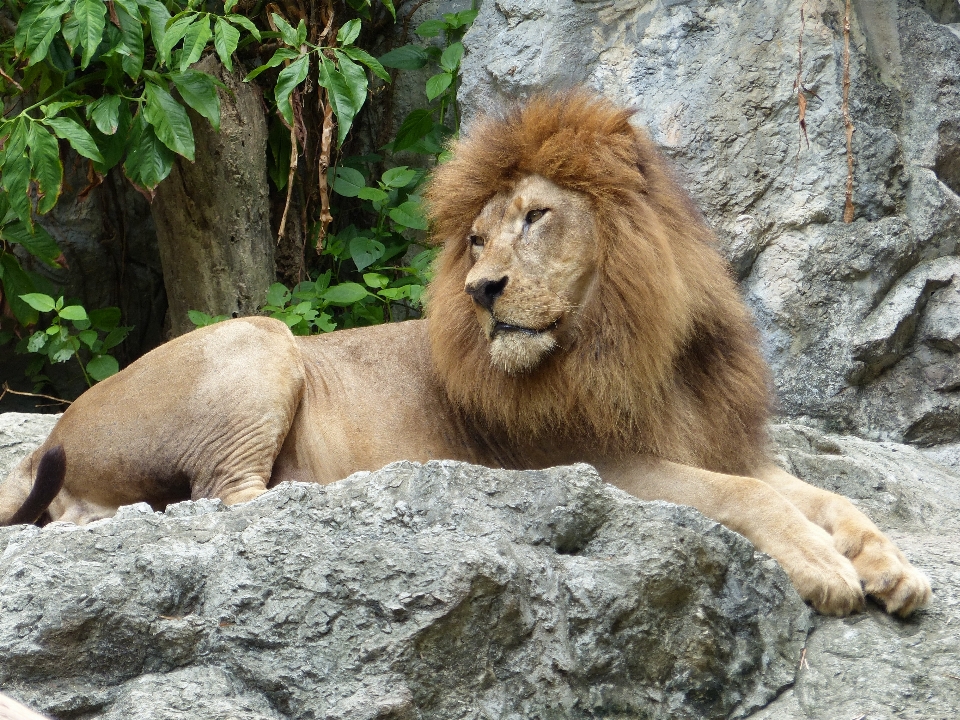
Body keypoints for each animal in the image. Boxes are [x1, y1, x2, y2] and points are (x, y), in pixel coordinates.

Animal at [0, 93, 928, 616]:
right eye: (476, 239)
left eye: (536, 218)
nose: (482, 290)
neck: (640, 341)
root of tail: (51, 439)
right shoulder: (599, 461)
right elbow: (749, 499)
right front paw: (827, 569)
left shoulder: (722, 440)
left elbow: (832, 498)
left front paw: (893, 569)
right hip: (261, 338)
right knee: (222, 499)